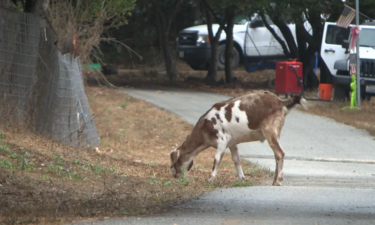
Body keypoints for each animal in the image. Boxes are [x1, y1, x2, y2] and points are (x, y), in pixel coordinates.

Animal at [170, 90, 308, 185]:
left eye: (173, 164)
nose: (175, 176)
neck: (205, 128)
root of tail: (280, 102)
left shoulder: (222, 140)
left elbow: (217, 159)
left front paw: (210, 179)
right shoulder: (232, 143)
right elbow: (236, 159)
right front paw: (242, 178)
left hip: (270, 130)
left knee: (280, 153)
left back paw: (277, 181)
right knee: (277, 155)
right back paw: (275, 180)